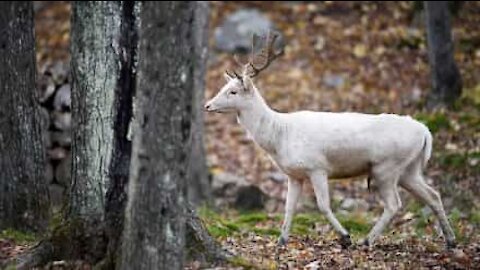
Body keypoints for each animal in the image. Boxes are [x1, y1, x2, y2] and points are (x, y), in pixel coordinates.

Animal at [203, 31, 458, 249]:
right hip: (408, 169)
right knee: (433, 195)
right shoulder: (294, 174)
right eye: (224, 86)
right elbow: (289, 208)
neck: (279, 136)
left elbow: (323, 206)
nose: (207, 105)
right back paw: (451, 240)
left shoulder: (317, 167)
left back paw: (367, 240)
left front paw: (345, 237)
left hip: (386, 167)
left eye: (233, 91)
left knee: (394, 204)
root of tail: (425, 131)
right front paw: (281, 241)